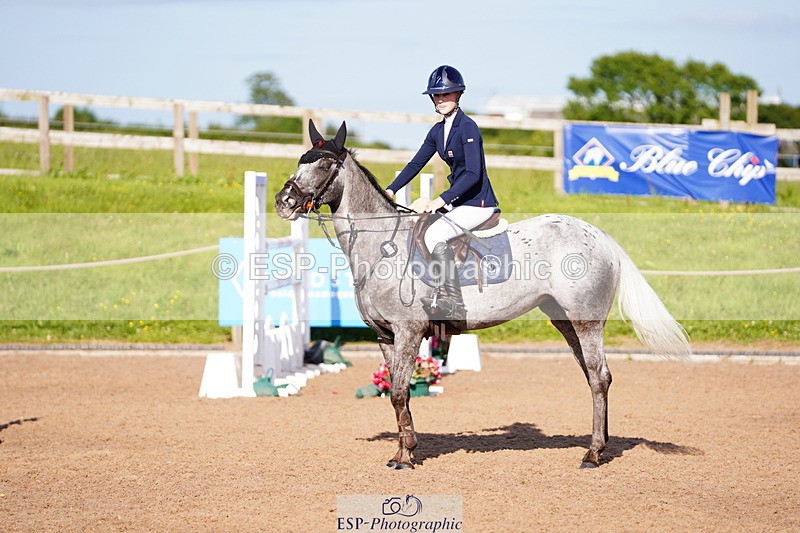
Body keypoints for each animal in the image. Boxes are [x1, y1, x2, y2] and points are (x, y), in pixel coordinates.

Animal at [275, 121, 691, 469]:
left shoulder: (409, 332)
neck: (381, 247)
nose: (284, 202)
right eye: (300, 161)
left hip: (587, 321)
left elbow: (398, 393)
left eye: (323, 164)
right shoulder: (385, 337)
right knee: (593, 377)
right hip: (565, 321)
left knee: (600, 376)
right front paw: (402, 451)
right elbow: (398, 395)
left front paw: (407, 458)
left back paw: (593, 454)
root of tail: (601, 236)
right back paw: (598, 446)